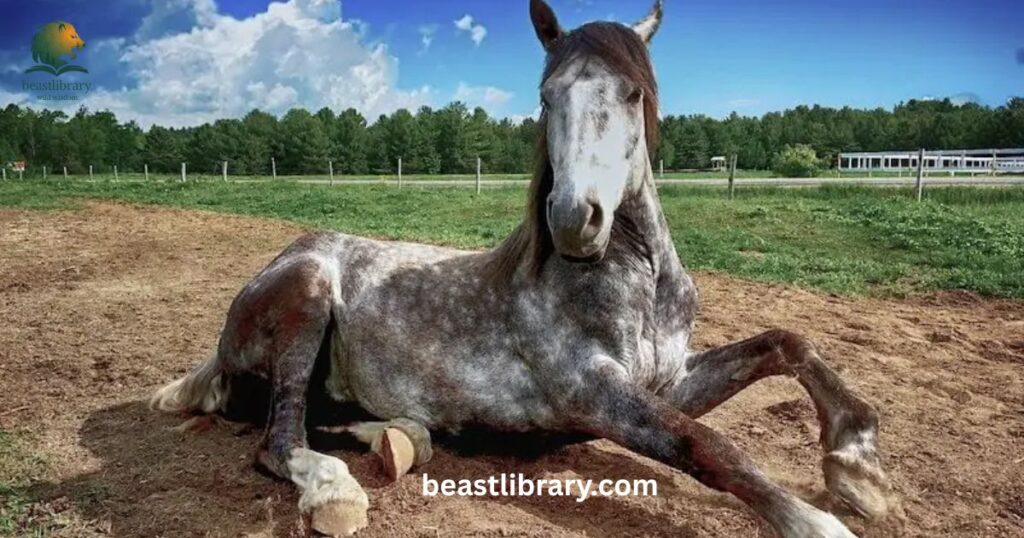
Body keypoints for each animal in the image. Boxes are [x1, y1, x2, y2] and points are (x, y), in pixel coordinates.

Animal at [151, 1, 894, 536]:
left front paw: (858, 469)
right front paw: (817, 521)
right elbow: (708, 445)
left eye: (633, 92)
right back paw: (336, 491)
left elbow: (786, 344)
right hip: (307, 295)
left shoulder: (670, 380)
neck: (637, 283)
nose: (573, 218)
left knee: (320, 418)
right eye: (546, 96)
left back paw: (400, 436)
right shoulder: (594, 393)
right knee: (279, 438)